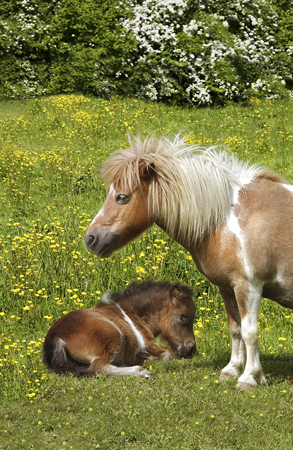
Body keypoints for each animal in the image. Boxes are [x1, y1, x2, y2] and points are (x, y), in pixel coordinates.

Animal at [42, 280, 195, 378]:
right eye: (184, 318)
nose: (191, 349)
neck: (132, 313)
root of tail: (55, 336)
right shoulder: (148, 343)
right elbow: (167, 355)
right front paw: (146, 361)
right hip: (112, 336)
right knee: (98, 367)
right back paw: (142, 372)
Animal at [84, 134, 293, 390]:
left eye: (122, 197)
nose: (90, 239)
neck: (228, 219)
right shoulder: (228, 287)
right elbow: (235, 329)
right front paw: (231, 370)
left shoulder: (249, 286)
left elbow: (250, 332)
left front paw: (249, 378)